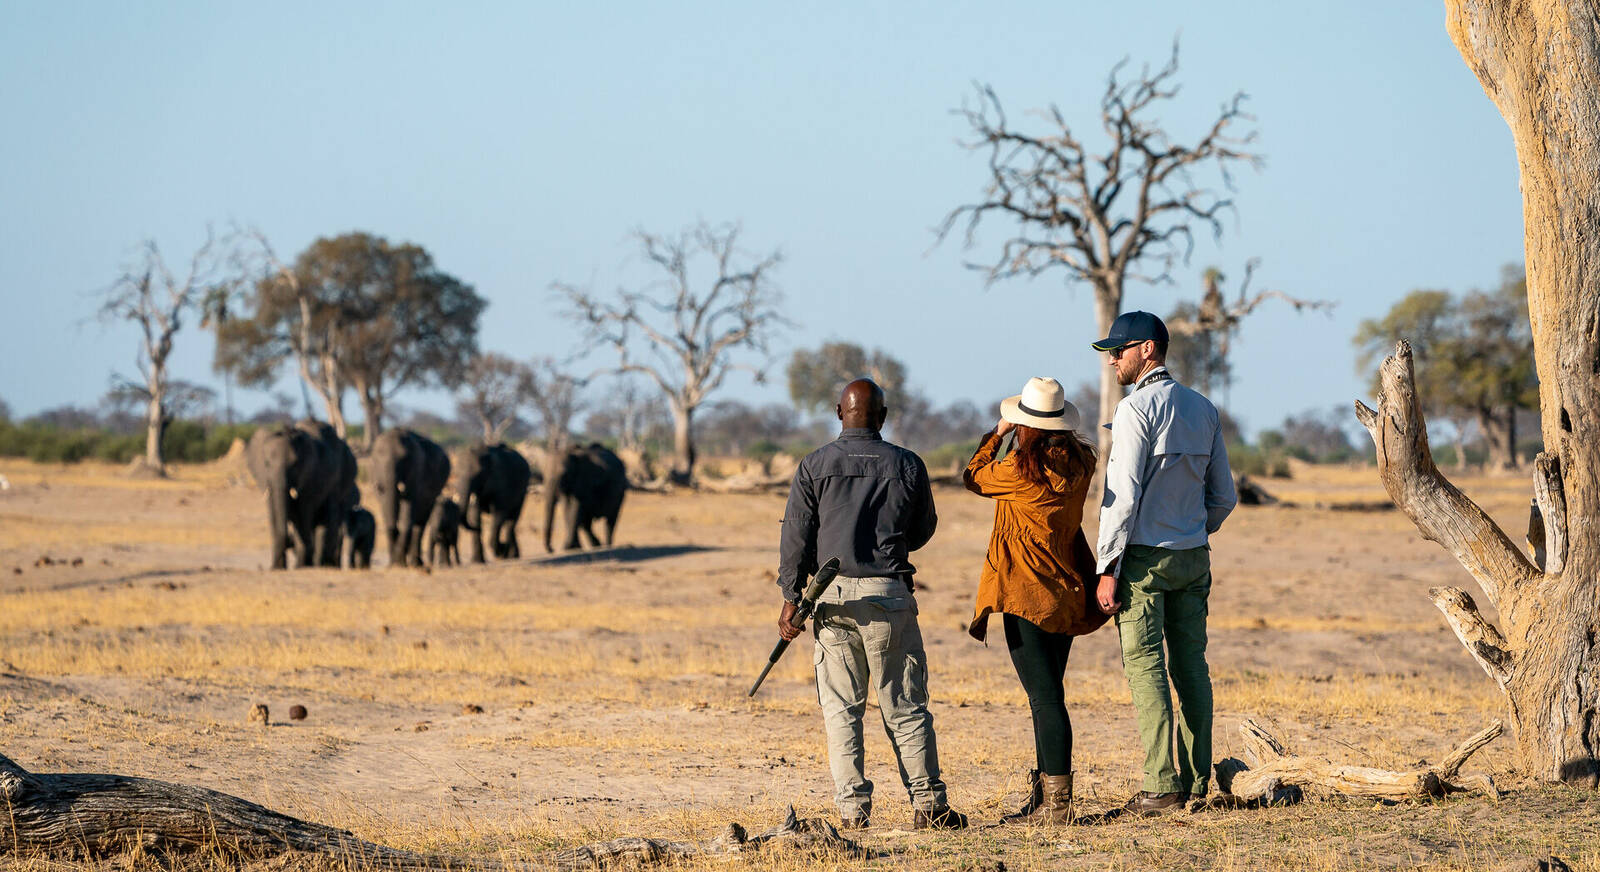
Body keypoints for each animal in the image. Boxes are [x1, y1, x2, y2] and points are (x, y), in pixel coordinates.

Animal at [246, 419, 353, 566]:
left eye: (295, 464)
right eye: (267, 464)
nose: (288, 542)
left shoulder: (308, 478)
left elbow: (302, 514)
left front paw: (300, 565)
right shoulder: (266, 480)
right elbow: (273, 514)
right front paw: (277, 568)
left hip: (341, 480)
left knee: (329, 515)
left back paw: (320, 563)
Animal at [368, 425, 451, 563]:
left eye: (405, 459)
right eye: (377, 457)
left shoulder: (416, 470)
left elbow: (408, 509)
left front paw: (399, 562)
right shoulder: (377, 474)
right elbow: (386, 508)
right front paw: (394, 562)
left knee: (421, 521)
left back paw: (416, 562)